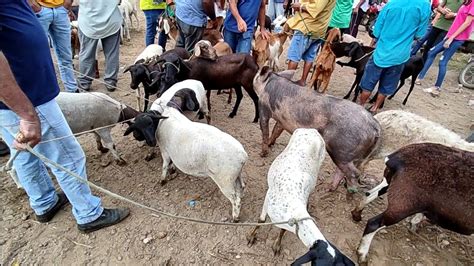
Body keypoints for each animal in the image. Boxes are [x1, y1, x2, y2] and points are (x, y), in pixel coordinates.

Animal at [246, 128, 354, 264]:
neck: (293, 207)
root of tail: (312, 130)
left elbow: (283, 230)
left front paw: (277, 245)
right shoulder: (268, 197)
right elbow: (261, 220)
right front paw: (251, 237)